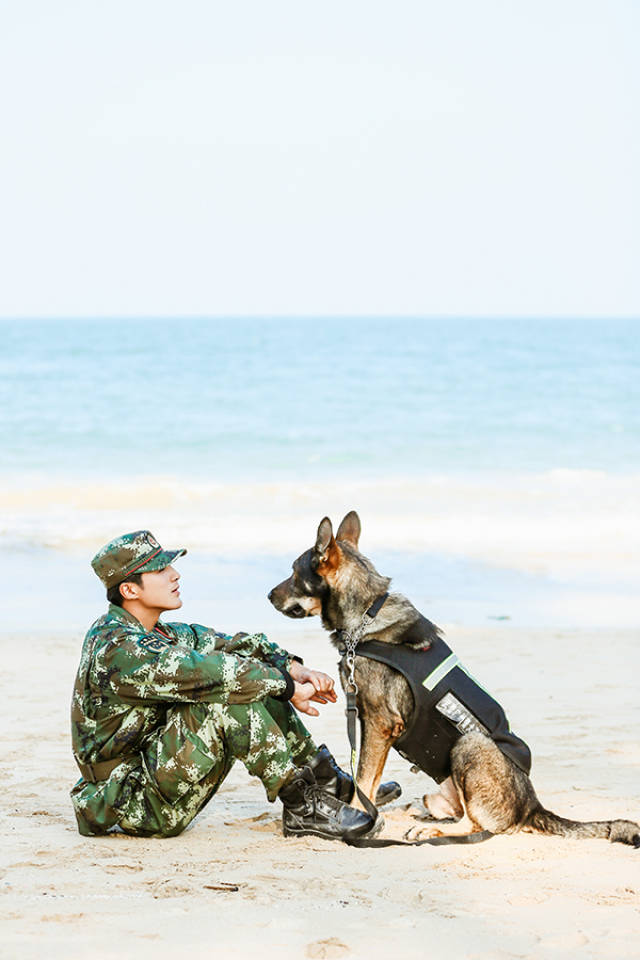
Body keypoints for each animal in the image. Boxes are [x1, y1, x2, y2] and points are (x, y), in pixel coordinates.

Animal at [270, 512, 640, 844]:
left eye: (294, 573)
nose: (268, 596)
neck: (367, 613)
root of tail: (531, 807)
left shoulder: (379, 724)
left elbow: (364, 780)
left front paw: (357, 814)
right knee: (454, 810)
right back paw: (416, 813)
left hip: (469, 744)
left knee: (475, 824)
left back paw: (428, 830)